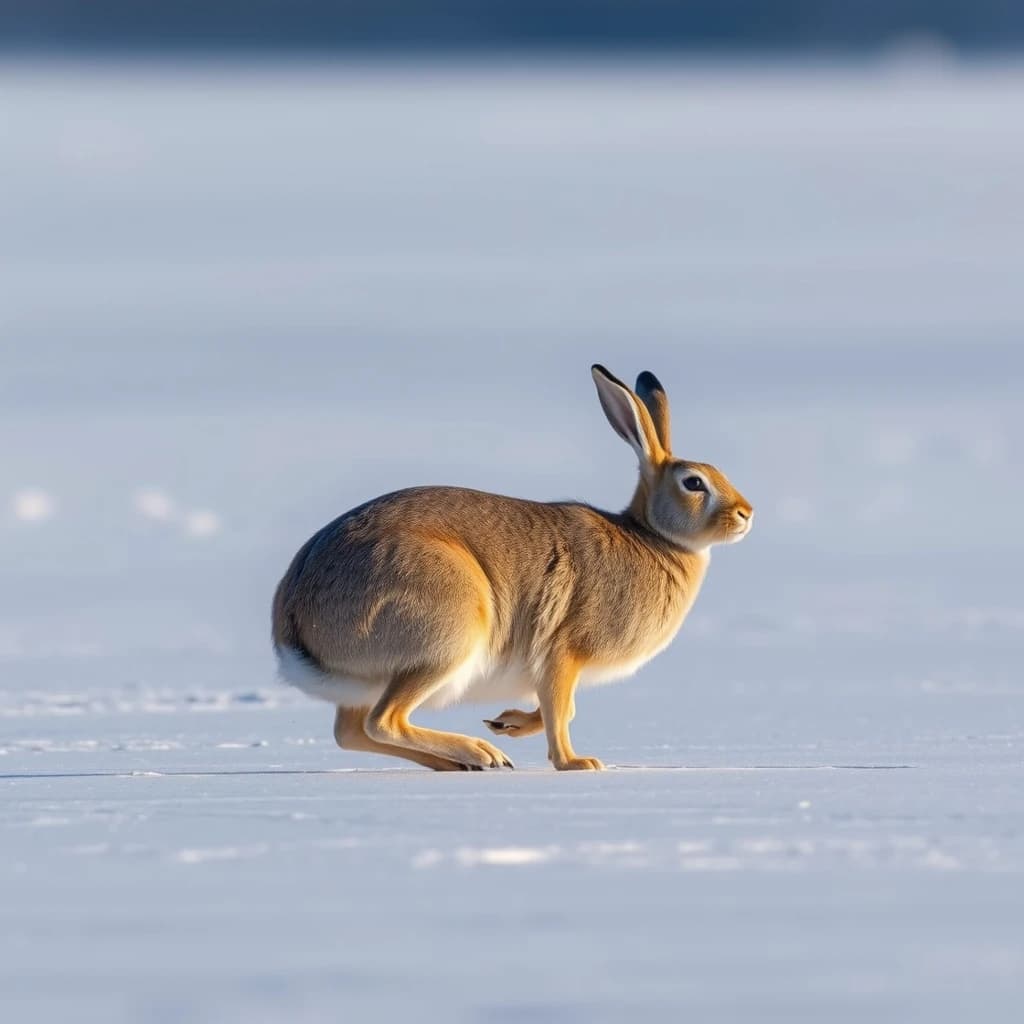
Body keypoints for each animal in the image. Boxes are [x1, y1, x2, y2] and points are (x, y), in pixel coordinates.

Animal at [272, 364, 753, 771]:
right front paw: (576, 764)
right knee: (384, 721)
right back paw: (481, 753)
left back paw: (461, 762)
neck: (653, 536)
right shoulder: (562, 652)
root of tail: (293, 624)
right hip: (445, 632)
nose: (746, 514)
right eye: (694, 482)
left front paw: (508, 721)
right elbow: (561, 711)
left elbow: (561, 708)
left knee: (353, 732)